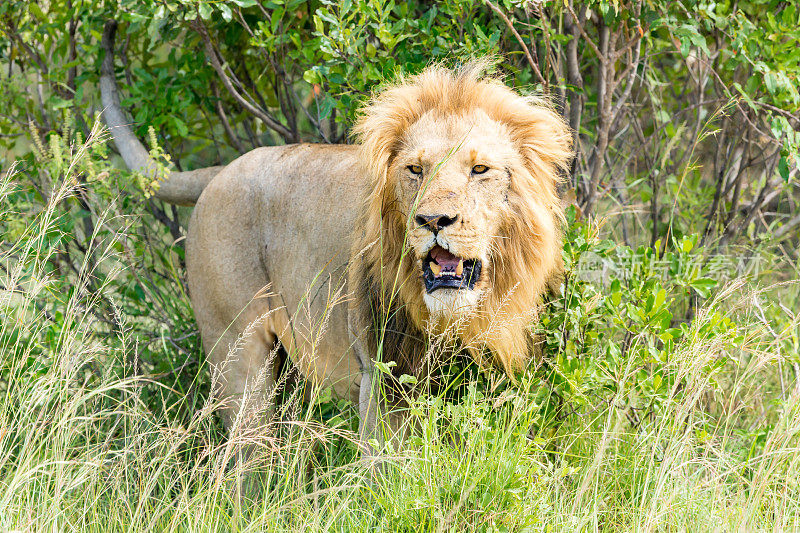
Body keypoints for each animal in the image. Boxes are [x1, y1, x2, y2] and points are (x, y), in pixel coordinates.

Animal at [100, 20, 572, 454]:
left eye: (479, 170)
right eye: (415, 170)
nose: (433, 220)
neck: (458, 319)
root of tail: (222, 170)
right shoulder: (383, 381)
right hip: (239, 358)